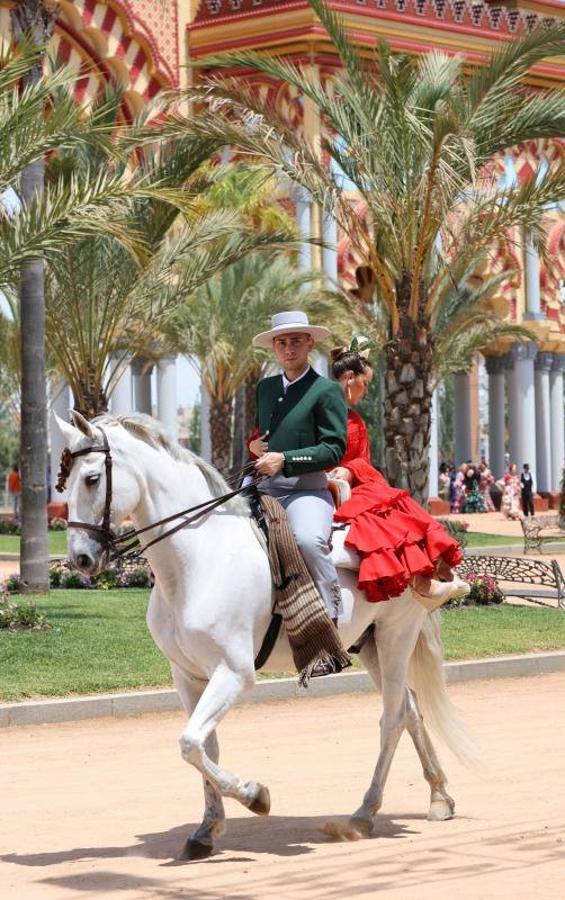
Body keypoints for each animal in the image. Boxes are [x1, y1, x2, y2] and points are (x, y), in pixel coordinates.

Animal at [56, 412, 472, 860]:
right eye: (65, 481)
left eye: (92, 478)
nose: (81, 559)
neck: (198, 558)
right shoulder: (188, 677)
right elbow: (205, 746)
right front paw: (207, 828)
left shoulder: (234, 673)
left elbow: (189, 743)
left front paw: (254, 794)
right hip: (370, 645)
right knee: (410, 710)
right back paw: (439, 796)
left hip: (397, 635)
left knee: (392, 718)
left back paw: (364, 813)